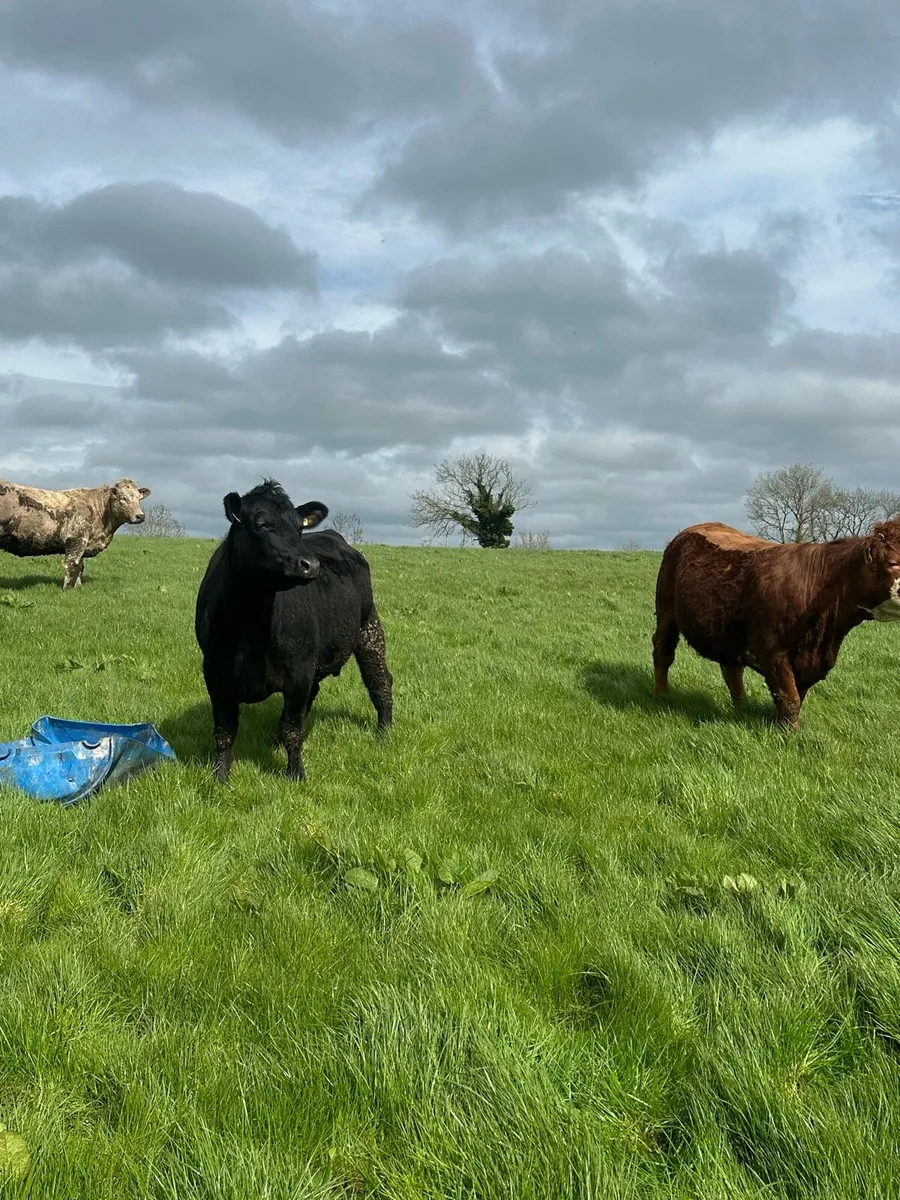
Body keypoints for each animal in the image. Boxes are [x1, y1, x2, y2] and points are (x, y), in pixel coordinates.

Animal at [0, 477, 151, 589]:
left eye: (139, 498)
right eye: (122, 498)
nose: (140, 516)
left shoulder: (84, 542)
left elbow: (80, 566)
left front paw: (78, 587)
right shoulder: (77, 539)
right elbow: (72, 564)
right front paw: (68, 589)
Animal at [194, 479, 393, 783]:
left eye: (299, 528)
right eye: (262, 524)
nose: (310, 565)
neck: (250, 623)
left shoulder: (299, 672)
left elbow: (292, 728)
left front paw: (296, 774)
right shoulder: (215, 672)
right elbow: (224, 732)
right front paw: (220, 776)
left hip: (368, 627)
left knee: (379, 680)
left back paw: (384, 733)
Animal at [652, 519, 900, 729]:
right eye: (893, 563)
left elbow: (793, 695)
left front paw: (776, 723)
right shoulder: (772, 651)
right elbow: (789, 697)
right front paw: (789, 733)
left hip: (727, 632)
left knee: (731, 670)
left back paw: (741, 705)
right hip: (666, 611)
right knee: (663, 653)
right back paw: (661, 695)